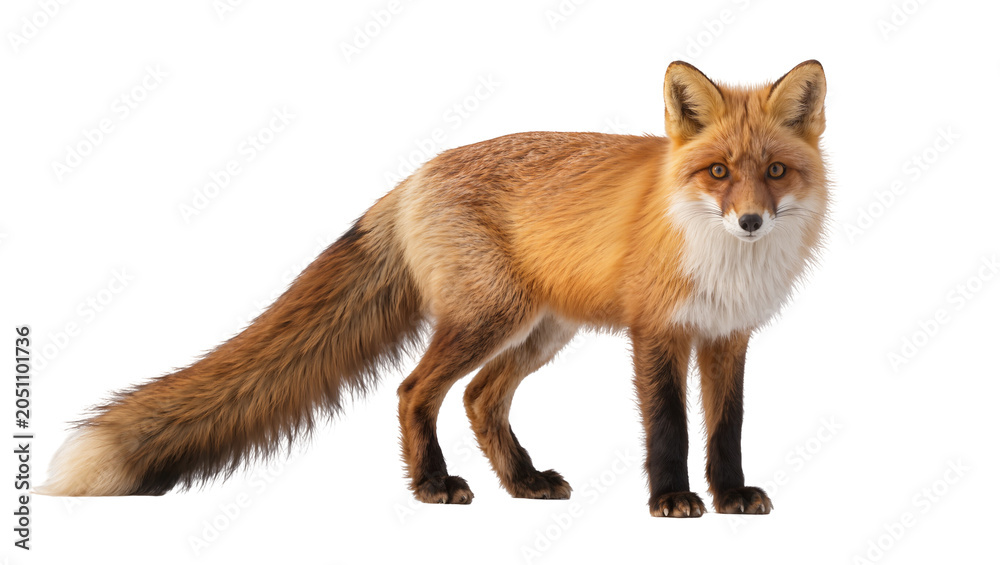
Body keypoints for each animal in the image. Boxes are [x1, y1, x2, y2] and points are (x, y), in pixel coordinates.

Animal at [39, 60, 828, 517]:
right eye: (718, 172)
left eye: (776, 172)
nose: (751, 221)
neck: (723, 258)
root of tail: (416, 175)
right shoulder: (656, 331)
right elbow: (668, 425)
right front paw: (671, 498)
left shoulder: (727, 335)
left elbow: (726, 427)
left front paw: (729, 495)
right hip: (490, 319)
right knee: (416, 390)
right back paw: (432, 485)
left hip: (539, 329)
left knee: (479, 398)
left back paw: (523, 482)